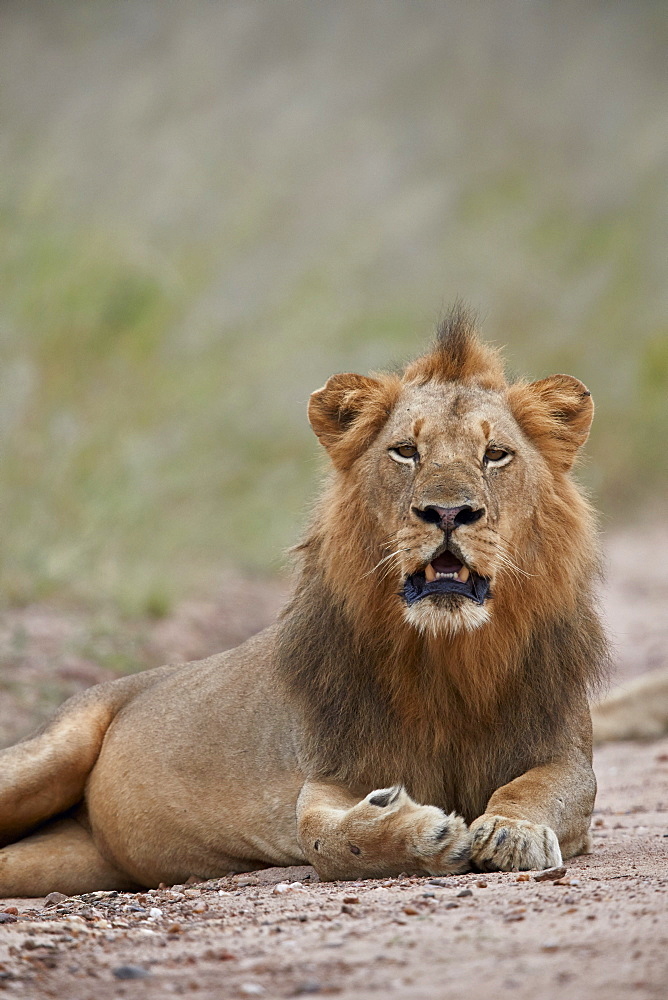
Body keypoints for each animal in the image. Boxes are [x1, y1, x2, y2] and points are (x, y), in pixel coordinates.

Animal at [0, 308, 612, 896]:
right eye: (406, 451)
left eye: (496, 455)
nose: (447, 512)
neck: (447, 653)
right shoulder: (331, 771)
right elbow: (323, 836)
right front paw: (421, 832)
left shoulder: (565, 755)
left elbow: (538, 789)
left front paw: (512, 831)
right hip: (50, 751)